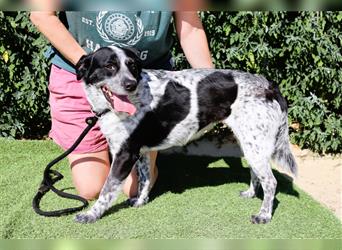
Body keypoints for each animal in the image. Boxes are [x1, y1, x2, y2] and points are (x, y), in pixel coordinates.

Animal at [74, 45, 296, 225]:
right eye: (110, 66)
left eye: (133, 67)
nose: (130, 84)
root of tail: (269, 85)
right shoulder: (141, 152)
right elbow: (145, 179)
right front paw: (140, 200)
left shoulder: (125, 154)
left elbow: (106, 190)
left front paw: (91, 215)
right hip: (250, 145)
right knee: (256, 173)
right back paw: (250, 193)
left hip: (255, 145)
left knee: (271, 182)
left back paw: (264, 215)